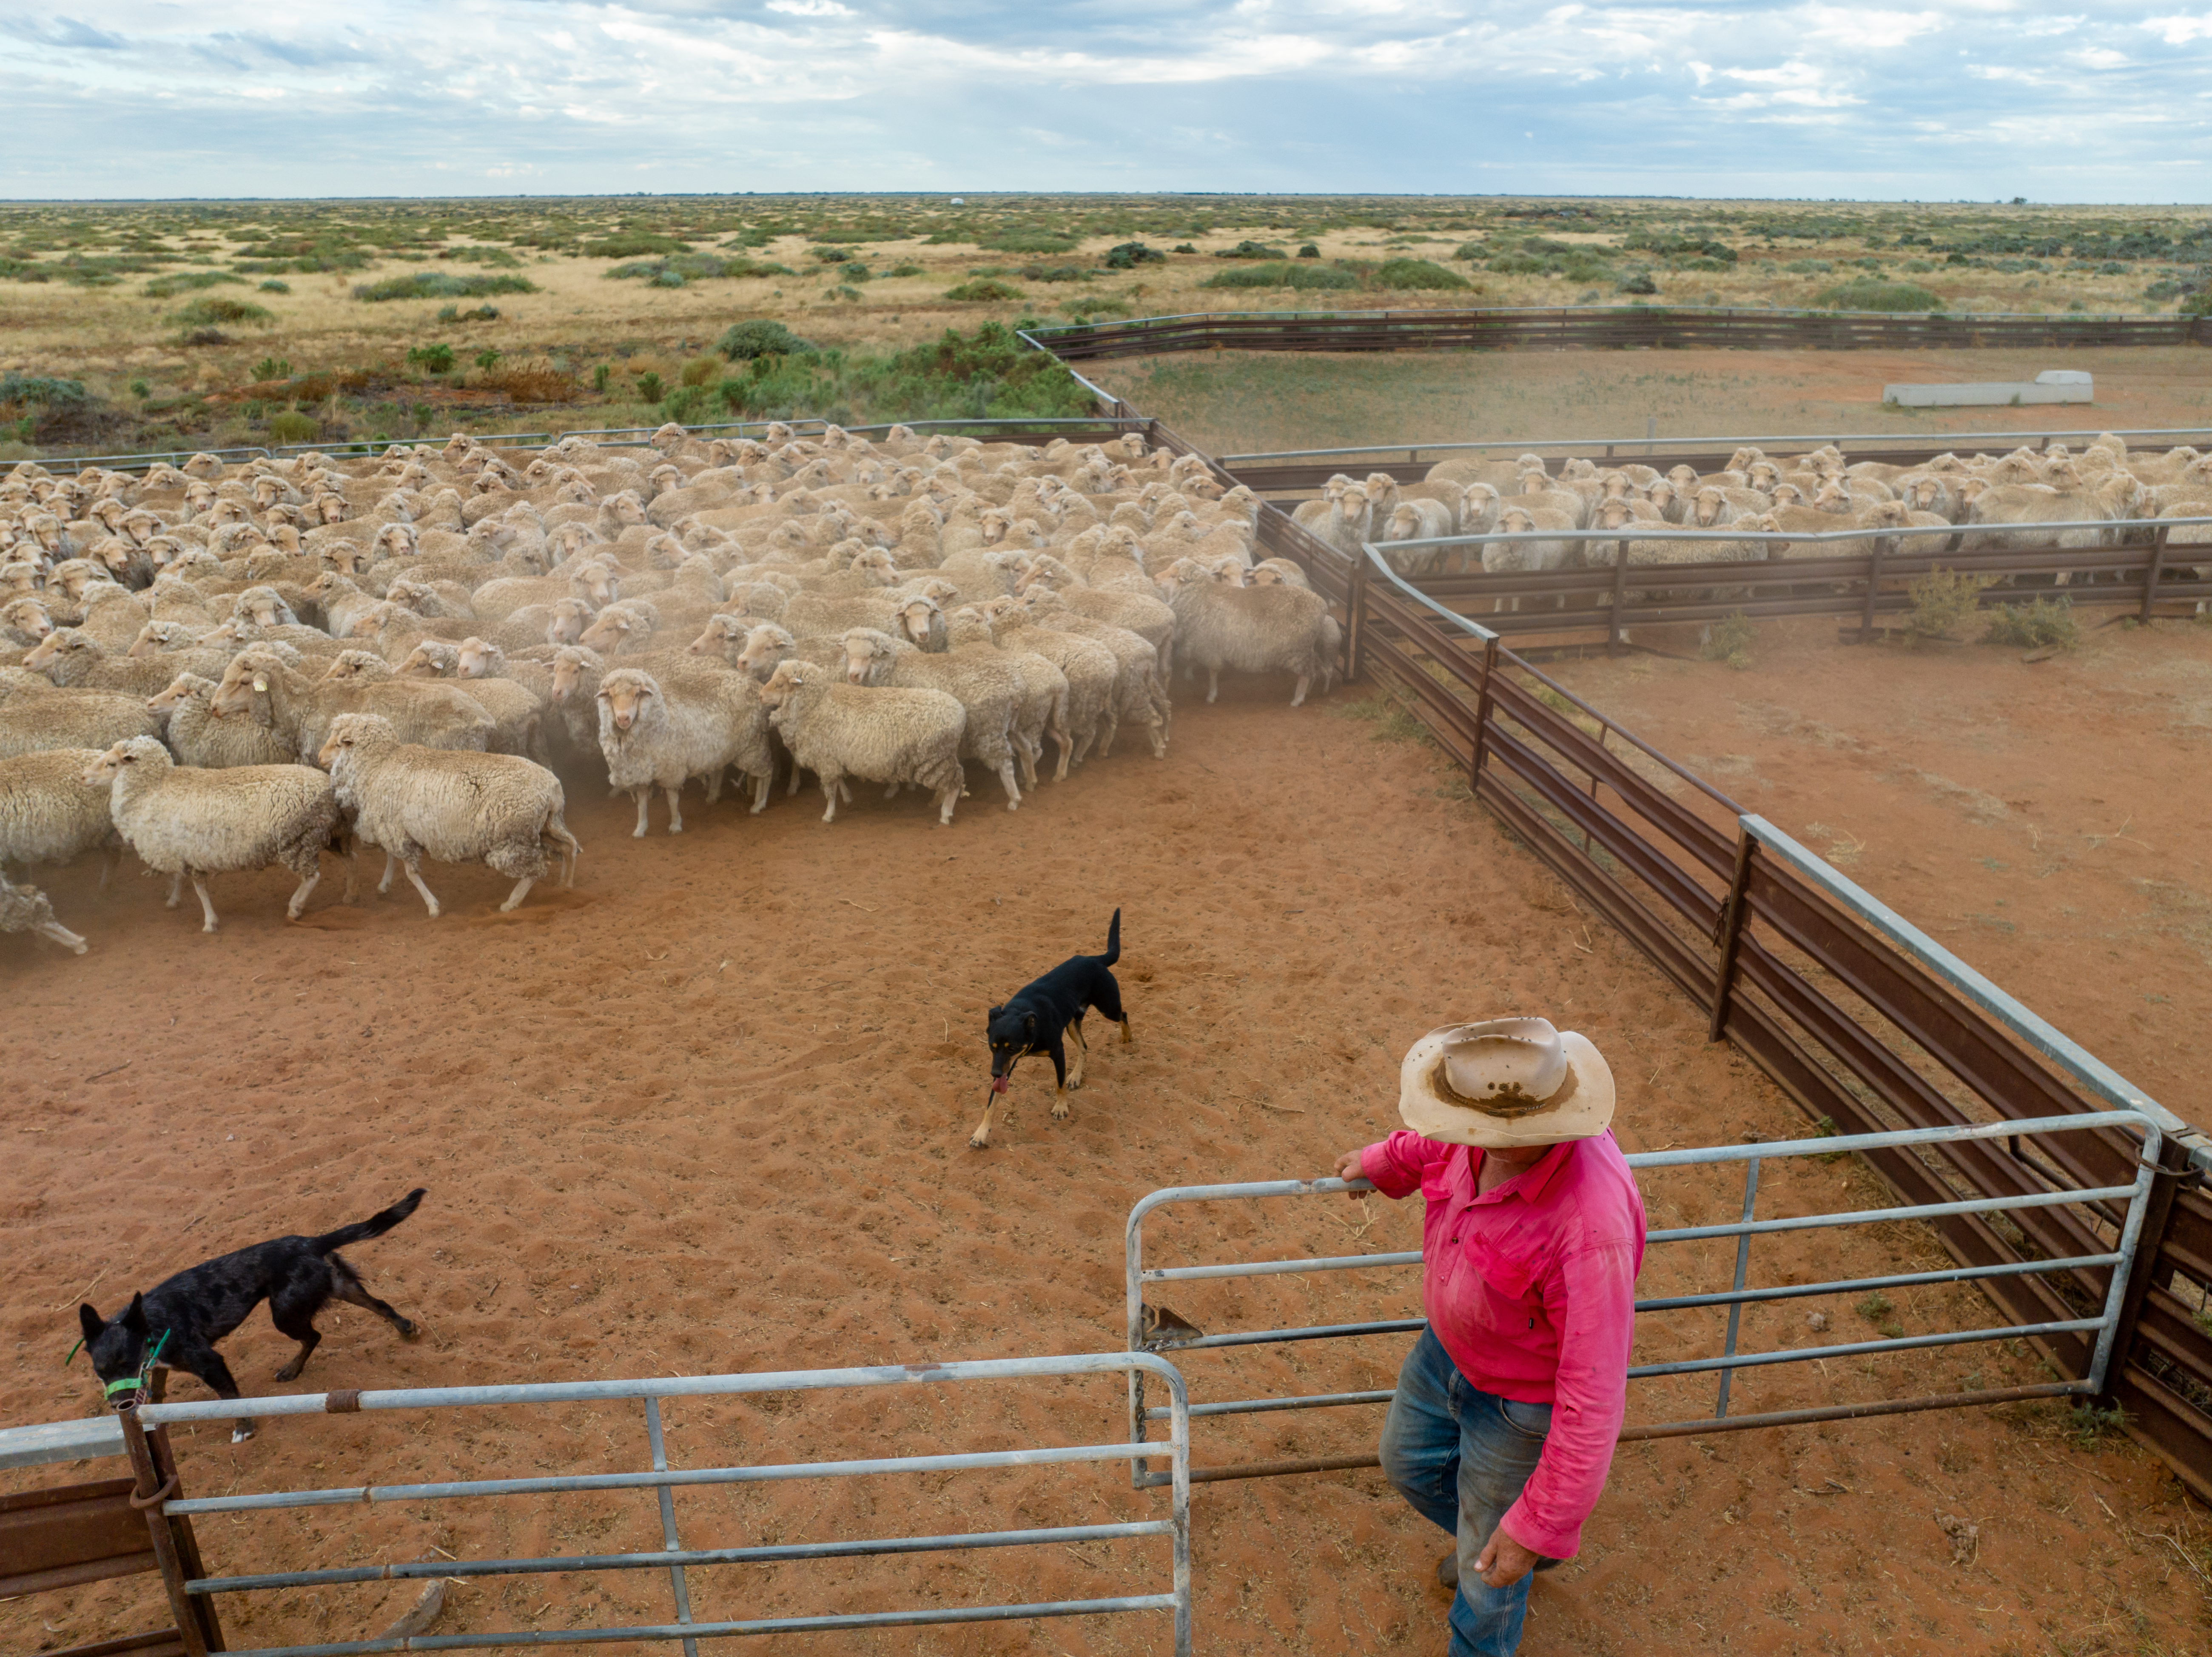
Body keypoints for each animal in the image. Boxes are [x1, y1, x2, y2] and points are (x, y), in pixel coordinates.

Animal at [84, 736, 346, 932]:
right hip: (315, 838)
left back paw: (295, 908)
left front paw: (210, 922)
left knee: (312, 878)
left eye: (111, 764)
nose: (84, 777)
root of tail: (326, 785)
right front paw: (174, 900)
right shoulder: (181, 850)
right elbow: (180, 879)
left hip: (298, 841)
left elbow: (200, 889)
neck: (152, 789)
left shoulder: (189, 853)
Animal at [316, 713, 579, 916]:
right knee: (569, 847)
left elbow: (411, 873)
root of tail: (552, 788)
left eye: (339, 744)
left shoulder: (395, 829)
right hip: (545, 826)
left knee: (536, 870)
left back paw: (511, 903)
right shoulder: (393, 827)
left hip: (514, 838)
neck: (378, 766)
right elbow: (392, 857)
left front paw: (433, 907)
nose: (319, 758)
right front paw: (384, 886)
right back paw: (565, 887)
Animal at [594, 666, 770, 835]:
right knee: (721, 769)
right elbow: (642, 803)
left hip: (754, 744)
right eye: (611, 696)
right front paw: (640, 829)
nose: (623, 718)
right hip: (722, 749)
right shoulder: (640, 771)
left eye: (637, 694)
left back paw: (759, 804)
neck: (664, 716)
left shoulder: (672, 769)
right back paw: (713, 796)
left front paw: (675, 825)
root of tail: (755, 683)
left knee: (767, 772)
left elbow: (672, 799)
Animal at [757, 657, 968, 826]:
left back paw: (945, 815)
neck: (817, 704)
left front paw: (828, 815)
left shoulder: (825, 759)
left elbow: (831, 791)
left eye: (779, 684)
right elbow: (839, 780)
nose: (759, 696)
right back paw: (937, 804)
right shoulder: (834, 756)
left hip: (935, 757)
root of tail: (960, 712)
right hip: (940, 758)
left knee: (955, 784)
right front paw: (848, 797)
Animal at [1152, 564, 1335, 707]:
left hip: (1298, 651)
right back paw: (1309, 692)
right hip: (1309, 649)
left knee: (1305, 675)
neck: (1201, 597)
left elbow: (1213, 672)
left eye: (1173, 575)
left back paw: (1297, 700)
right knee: (1315, 670)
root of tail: (1321, 604)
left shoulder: (1210, 647)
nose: (1154, 577)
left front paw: (1212, 696)